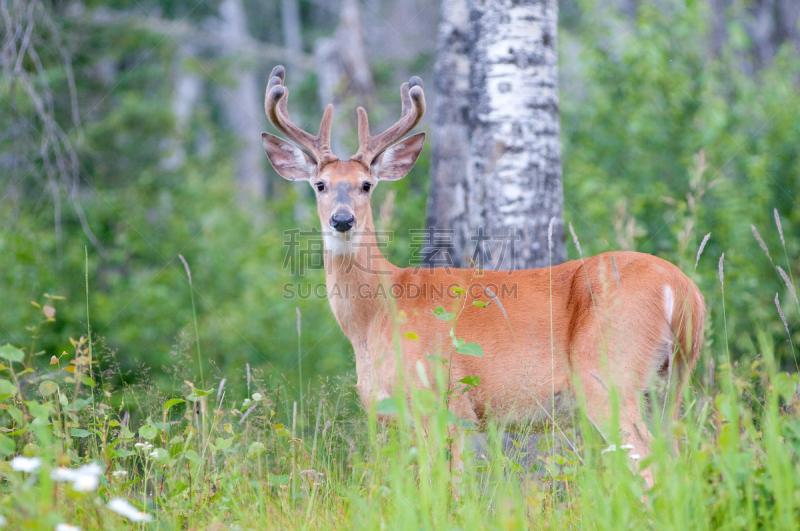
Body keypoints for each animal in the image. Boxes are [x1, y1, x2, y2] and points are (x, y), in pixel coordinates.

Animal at [260, 65, 704, 486]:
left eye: (366, 184)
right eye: (320, 184)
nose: (342, 220)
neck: (378, 314)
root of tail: (682, 291)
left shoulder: (446, 402)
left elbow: (444, 490)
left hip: (609, 376)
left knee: (650, 469)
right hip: (670, 384)